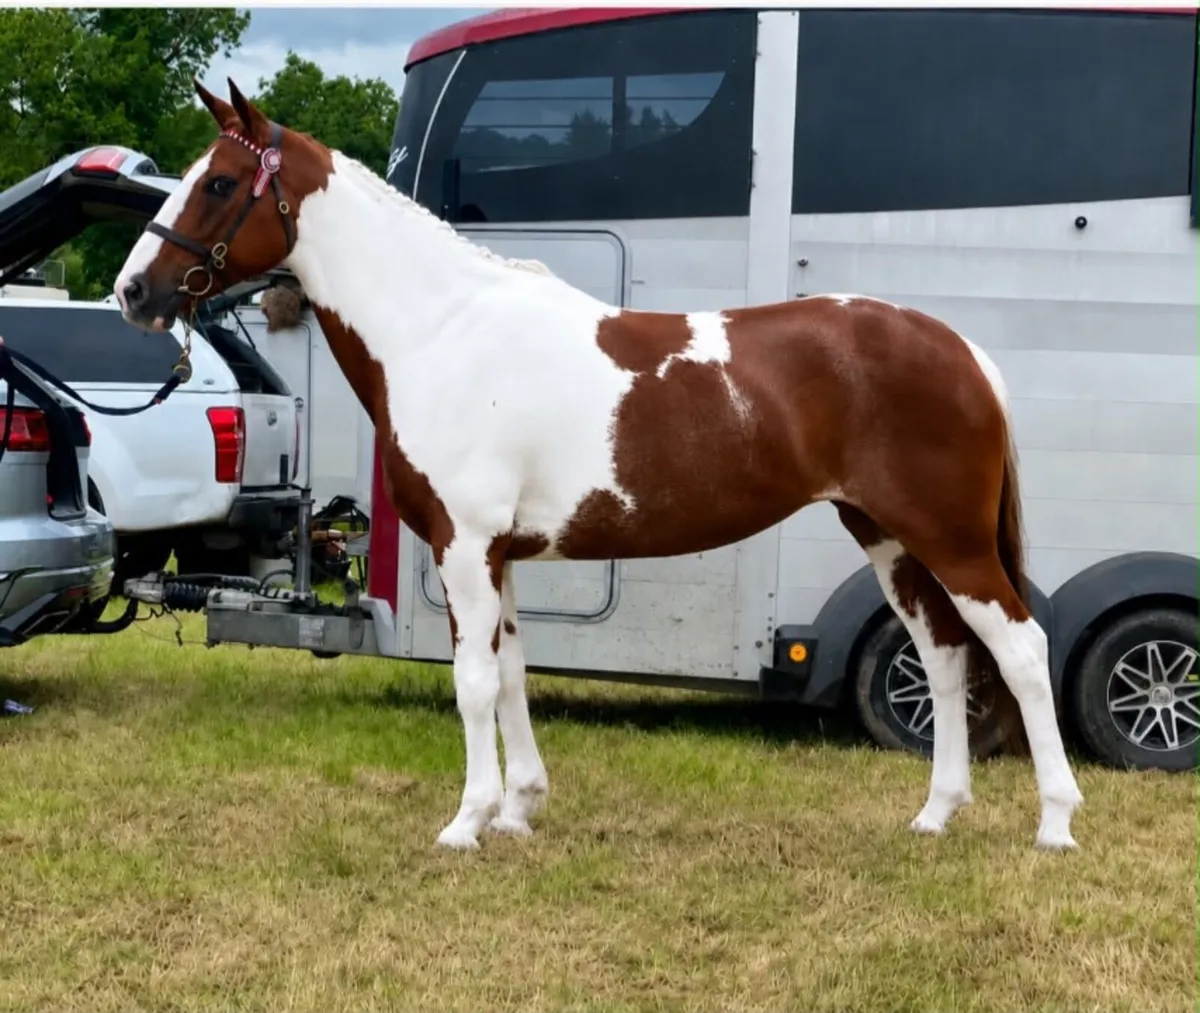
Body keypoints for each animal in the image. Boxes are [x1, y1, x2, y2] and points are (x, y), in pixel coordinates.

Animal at [113, 78, 1083, 852]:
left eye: (220, 183)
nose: (132, 292)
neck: (443, 331)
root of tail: (961, 349)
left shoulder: (464, 547)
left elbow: (472, 682)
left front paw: (466, 821)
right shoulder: (499, 556)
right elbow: (510, 672)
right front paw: (518, 808)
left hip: (949, 539)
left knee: (1020, 648)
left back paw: (1055, 823)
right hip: (887, 536)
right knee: (946, 657)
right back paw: (935, 814)